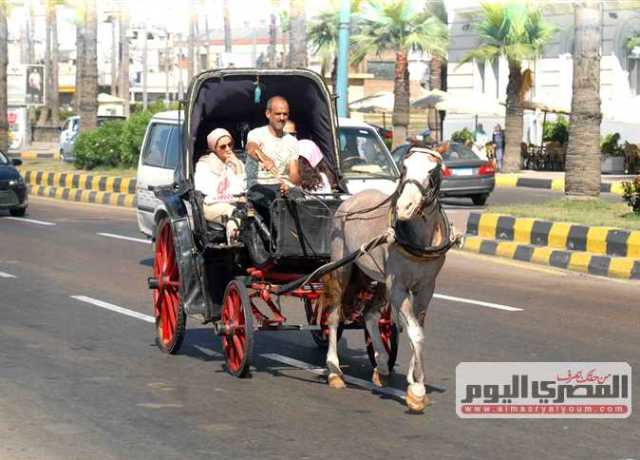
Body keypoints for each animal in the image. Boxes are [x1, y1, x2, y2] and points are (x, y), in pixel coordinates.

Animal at [320, 148, 456, 414]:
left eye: (433, 171)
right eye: (404, 167)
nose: (404, 207)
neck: (419, 240)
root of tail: (351, 199)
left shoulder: (426, 288)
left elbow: (417, 329)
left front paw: (414, 379)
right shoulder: (398, 288)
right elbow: (415, 332)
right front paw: (417, 391)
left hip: (379, 278)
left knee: (370, 315)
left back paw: (381, 364)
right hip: (342, 264)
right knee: (333, 315)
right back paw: (334, 370)